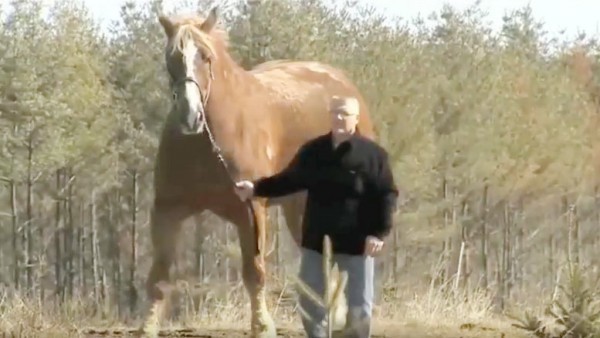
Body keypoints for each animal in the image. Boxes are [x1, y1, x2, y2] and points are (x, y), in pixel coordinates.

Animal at [146, 6, 376, 336]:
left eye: (205, 56)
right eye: (171, 57)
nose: (190, 117)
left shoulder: (251, 210)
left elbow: (254, 272)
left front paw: (262, 326)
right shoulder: (167, 209)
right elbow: (160, 278)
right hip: (300, 207)